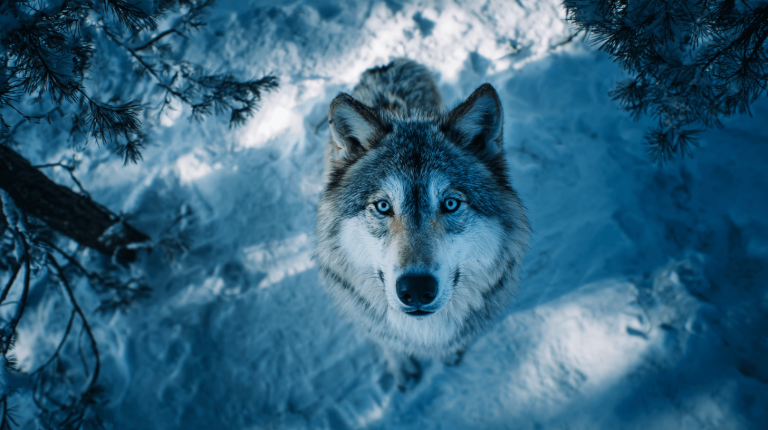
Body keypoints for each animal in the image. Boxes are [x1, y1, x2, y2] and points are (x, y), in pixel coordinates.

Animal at [315, 58, 530, 388]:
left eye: (450, 204)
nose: (416, 290)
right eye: (383, 206)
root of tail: (387, 64)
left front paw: (449, 354)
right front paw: (402, 368)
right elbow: (387, 340)